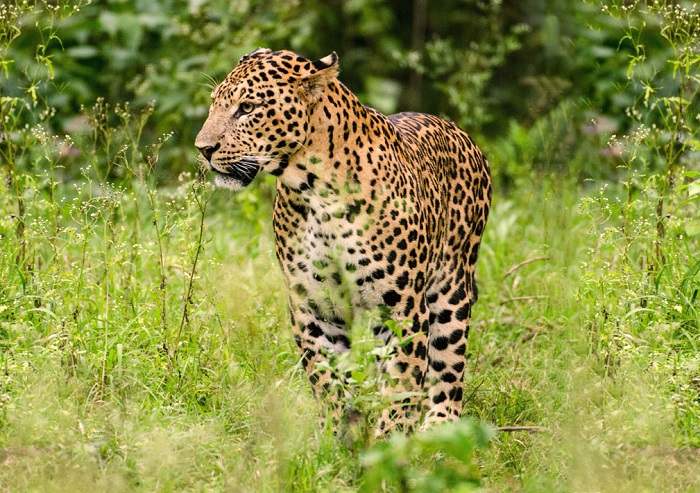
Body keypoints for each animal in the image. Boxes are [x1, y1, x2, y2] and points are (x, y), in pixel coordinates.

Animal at [196, 49, 492, 434]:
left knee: (448, 371)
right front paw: (338, 436)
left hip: (451, 291)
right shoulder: (314, 306)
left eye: (246, 108)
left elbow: (401, 385)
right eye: (215, 103)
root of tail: (460, 132)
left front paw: (388, 441)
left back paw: (438, 429)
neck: (314, 191)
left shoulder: (403, 309)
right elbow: (327, 380)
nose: (203, 148)